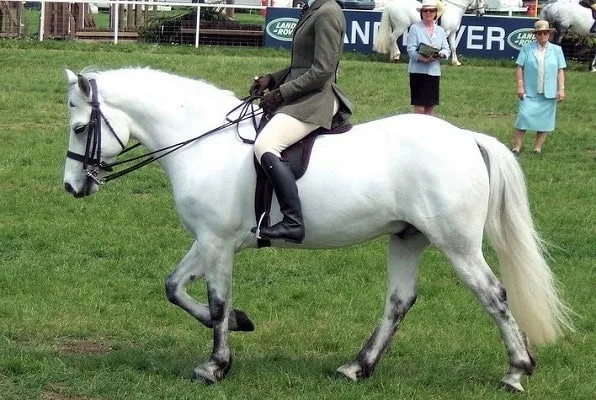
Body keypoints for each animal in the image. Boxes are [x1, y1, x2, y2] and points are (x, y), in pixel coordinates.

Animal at [62, 67, 572, 390]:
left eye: (81, 127)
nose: (71, 187)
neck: (202, 144)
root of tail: (466, 137)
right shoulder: (208, 239)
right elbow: (174, 287)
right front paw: (241, 322)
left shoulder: (217, 242)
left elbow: (216, 299)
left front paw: (216, 366)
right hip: (407, 238)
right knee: (399, 301)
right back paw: (357, 367)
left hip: (457, 244)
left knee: (493, 295)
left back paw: (516, 371)